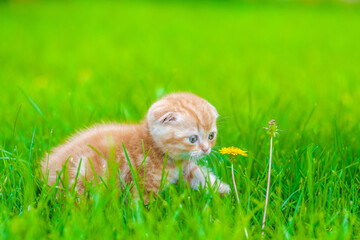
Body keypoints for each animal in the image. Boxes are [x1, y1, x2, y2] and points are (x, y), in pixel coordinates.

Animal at [41, 93, 228, 202]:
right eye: (192, 139)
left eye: (211, 136)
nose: (206, 149)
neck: (154, 146)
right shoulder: (145, 180)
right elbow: (141, 202)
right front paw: (145, 220)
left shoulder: (184, 165)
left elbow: (199, 175)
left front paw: (224, 190)